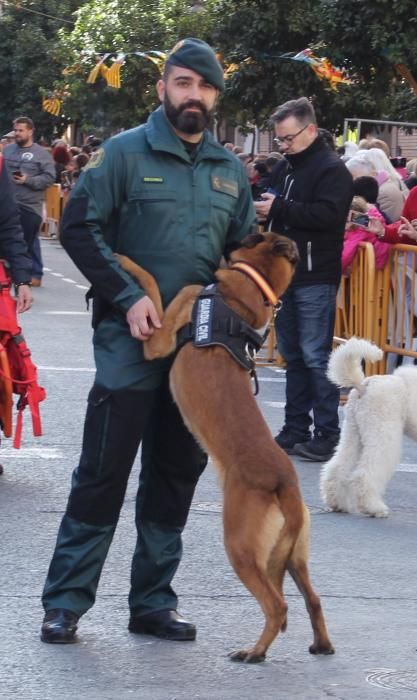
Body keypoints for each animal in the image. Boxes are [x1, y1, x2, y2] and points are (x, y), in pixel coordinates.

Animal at [115, 234, 334, 660]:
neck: (247, 289)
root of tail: (285, 483)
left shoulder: (161, 336)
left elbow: (151, 283)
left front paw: (125, 261)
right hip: (291, 559)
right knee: (313, 599)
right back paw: (322, 645)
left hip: (240, 548)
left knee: (277, 605)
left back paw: (255, 652)